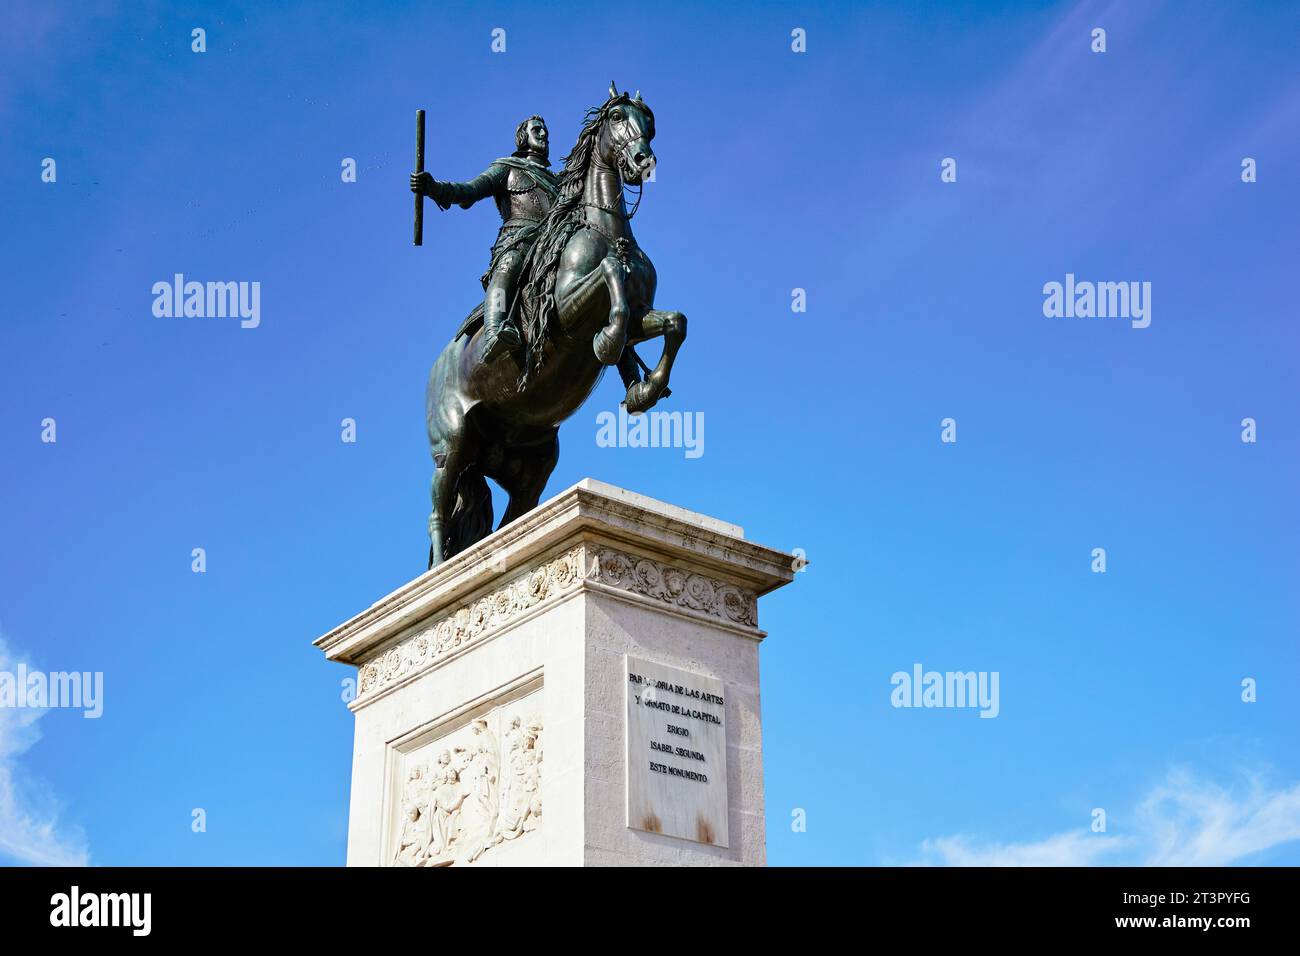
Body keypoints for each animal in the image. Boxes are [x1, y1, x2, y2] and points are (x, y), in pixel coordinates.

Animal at [426, 85, 691, 564]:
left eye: (649, 123)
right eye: (618, 118)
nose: (643, 160)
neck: (605, 229)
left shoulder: (641, 314)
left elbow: (674, 323)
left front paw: (645, 388)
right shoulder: (565, 312)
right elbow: (611, 273)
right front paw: (608, 342)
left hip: (530, 463)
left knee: (511, 520)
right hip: (451, 444)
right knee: (438, 507)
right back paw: (437, 569)